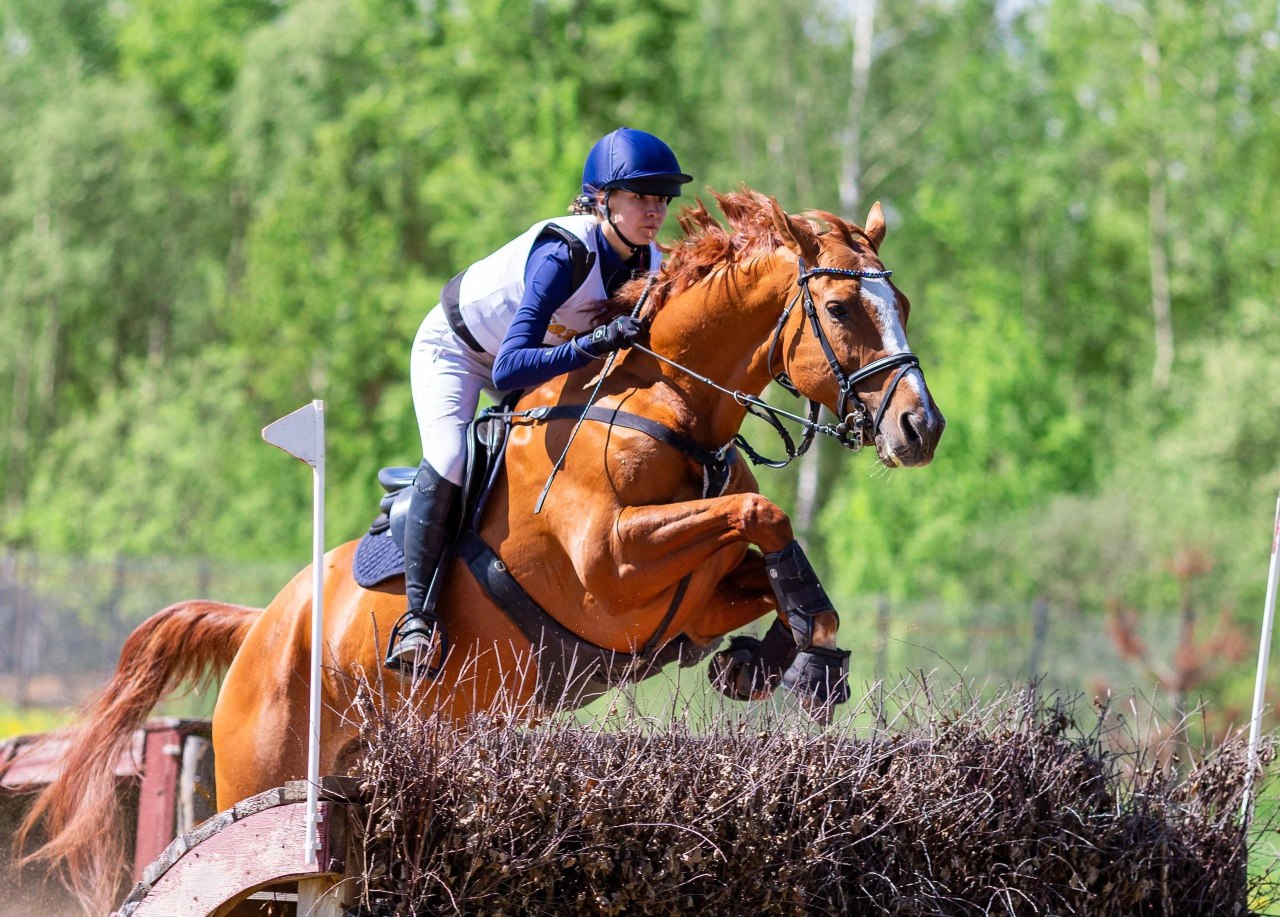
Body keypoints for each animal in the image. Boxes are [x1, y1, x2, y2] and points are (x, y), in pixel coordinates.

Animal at [15, 188, 947, 911]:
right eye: (840, 309)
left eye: (901, 301)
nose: (921, 428)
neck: (670, 401)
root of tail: (260, 628)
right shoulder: (610, 569)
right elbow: (764, 512)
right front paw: (806, 661)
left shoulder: (687, 595)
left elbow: (763, 552)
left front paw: (776, 657)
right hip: (262, 778)